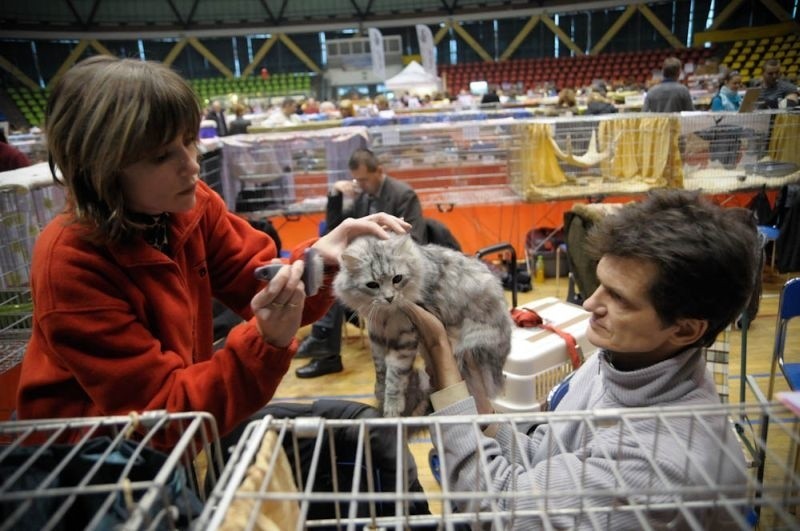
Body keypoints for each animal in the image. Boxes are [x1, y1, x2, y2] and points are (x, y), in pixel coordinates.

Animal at [332, 233, 512, 420]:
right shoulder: (377, 336)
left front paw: (392, 408)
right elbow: (380, 371)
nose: (389, 298)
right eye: (373, 285)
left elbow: (395, 376)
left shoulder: (405, 338)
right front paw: (380, 393)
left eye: (397, 279)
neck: (386, 314)